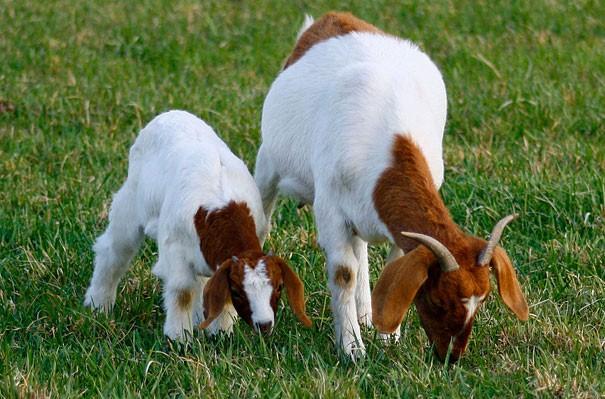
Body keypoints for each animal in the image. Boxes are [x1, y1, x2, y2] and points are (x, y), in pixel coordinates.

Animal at [84, 110, 312, 340]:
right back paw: (98, 303)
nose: (264, 325)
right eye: (238, 291)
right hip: (130, 202)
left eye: (279, 287)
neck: (222, 211)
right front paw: (179, 338)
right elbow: (182, 292)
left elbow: (218, 293)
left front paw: (221, 333)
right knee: (114, 250)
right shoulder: (174, 250)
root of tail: (172, 113)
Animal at [252, 13, 528, 362]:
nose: (451, 356)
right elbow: (344, 272)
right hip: (269, 161)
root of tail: (331, 18)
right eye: (438, 299)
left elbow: (387, 264)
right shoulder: (330, 209)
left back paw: (367, 315)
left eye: (484, 299)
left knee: (360, 249)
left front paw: (388, 337)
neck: (389, 144)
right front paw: (352, 349)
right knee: (263, 219)